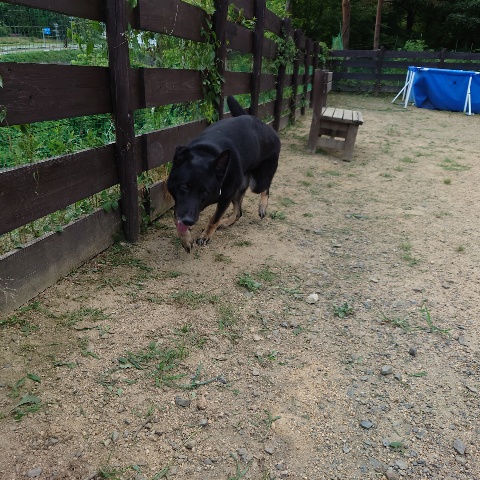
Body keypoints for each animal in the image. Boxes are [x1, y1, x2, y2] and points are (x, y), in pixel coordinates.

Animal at [166, 95, 281, 253]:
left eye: (205, 192)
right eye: (184, 186)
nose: (188, 221)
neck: (206, 152)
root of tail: (265, 126)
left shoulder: (226, 197)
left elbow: (214, 219)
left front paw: (205, 235)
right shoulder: (179, 200)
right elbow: (176, 216)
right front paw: (185, 238)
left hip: (257, 182)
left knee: (266, 187)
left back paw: (263, 206)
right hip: (240, 186)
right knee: (238, 213)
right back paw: (227, 222)